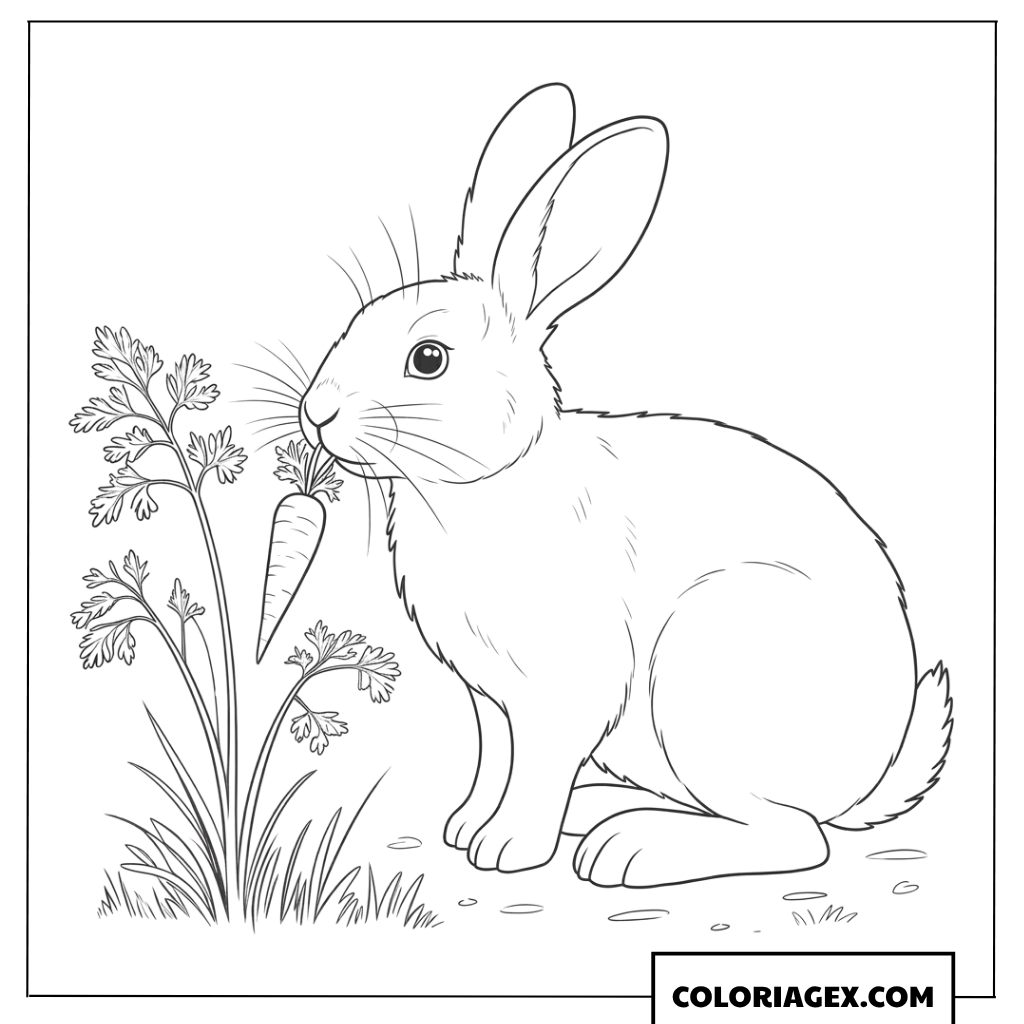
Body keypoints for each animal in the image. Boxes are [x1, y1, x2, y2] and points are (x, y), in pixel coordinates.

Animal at [299, 83, 953, 887]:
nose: (316, 412)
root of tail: (869, 778)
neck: (486, 487)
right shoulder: (491, 696)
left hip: (706, 677)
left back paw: (628, 848)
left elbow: (537, 768)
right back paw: (598, 813)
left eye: (428, 359)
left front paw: (506, 849)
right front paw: (465, 827)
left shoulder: (564, 689)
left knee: (794, 837)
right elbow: (495, 760)